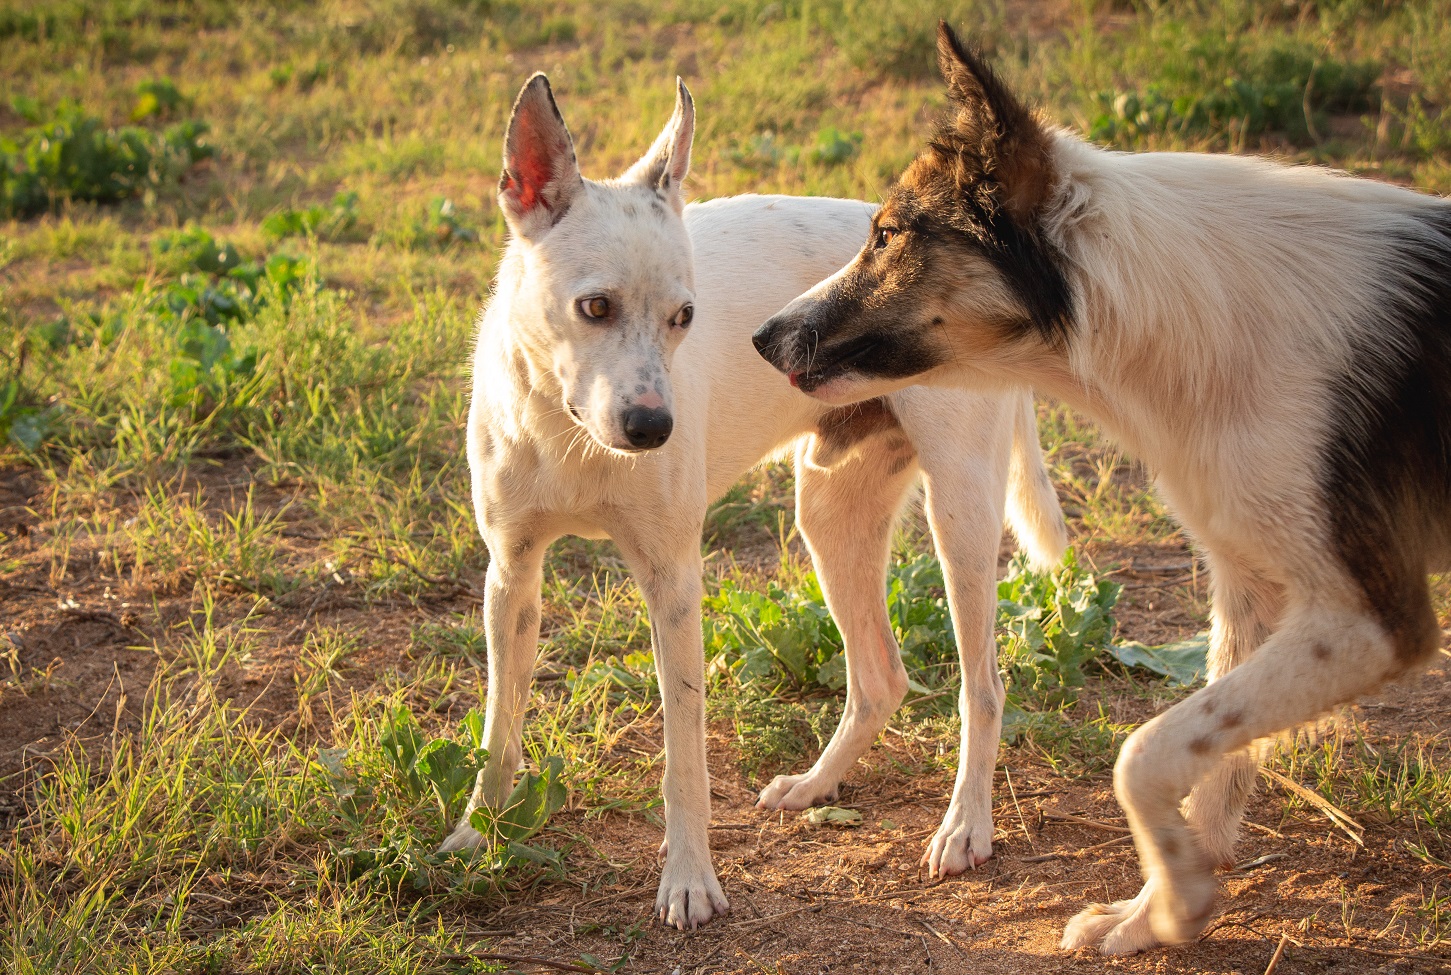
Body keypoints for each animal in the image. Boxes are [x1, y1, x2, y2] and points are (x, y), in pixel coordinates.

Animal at [446, 76, 1073, 928]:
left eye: (684, 317)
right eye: (594, 307)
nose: (654, 428)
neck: (567, 429)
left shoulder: (674, 584)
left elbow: (683, 757)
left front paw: (688, 879)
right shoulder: (509, 576)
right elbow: (499, 729)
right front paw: (476, 833)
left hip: (961, 523)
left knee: (982, 685)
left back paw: (965, 825)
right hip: (830, 517)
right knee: (880, 677)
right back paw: (816, 784)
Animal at [754, 19, 1451, 957]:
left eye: (888, 234)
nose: (762, 336)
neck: (1172, 300)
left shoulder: (1372, 616)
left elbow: (1143, 753)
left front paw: (1175, 902)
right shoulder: (1256, 588)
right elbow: (1202, 766)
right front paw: (1158, 908)